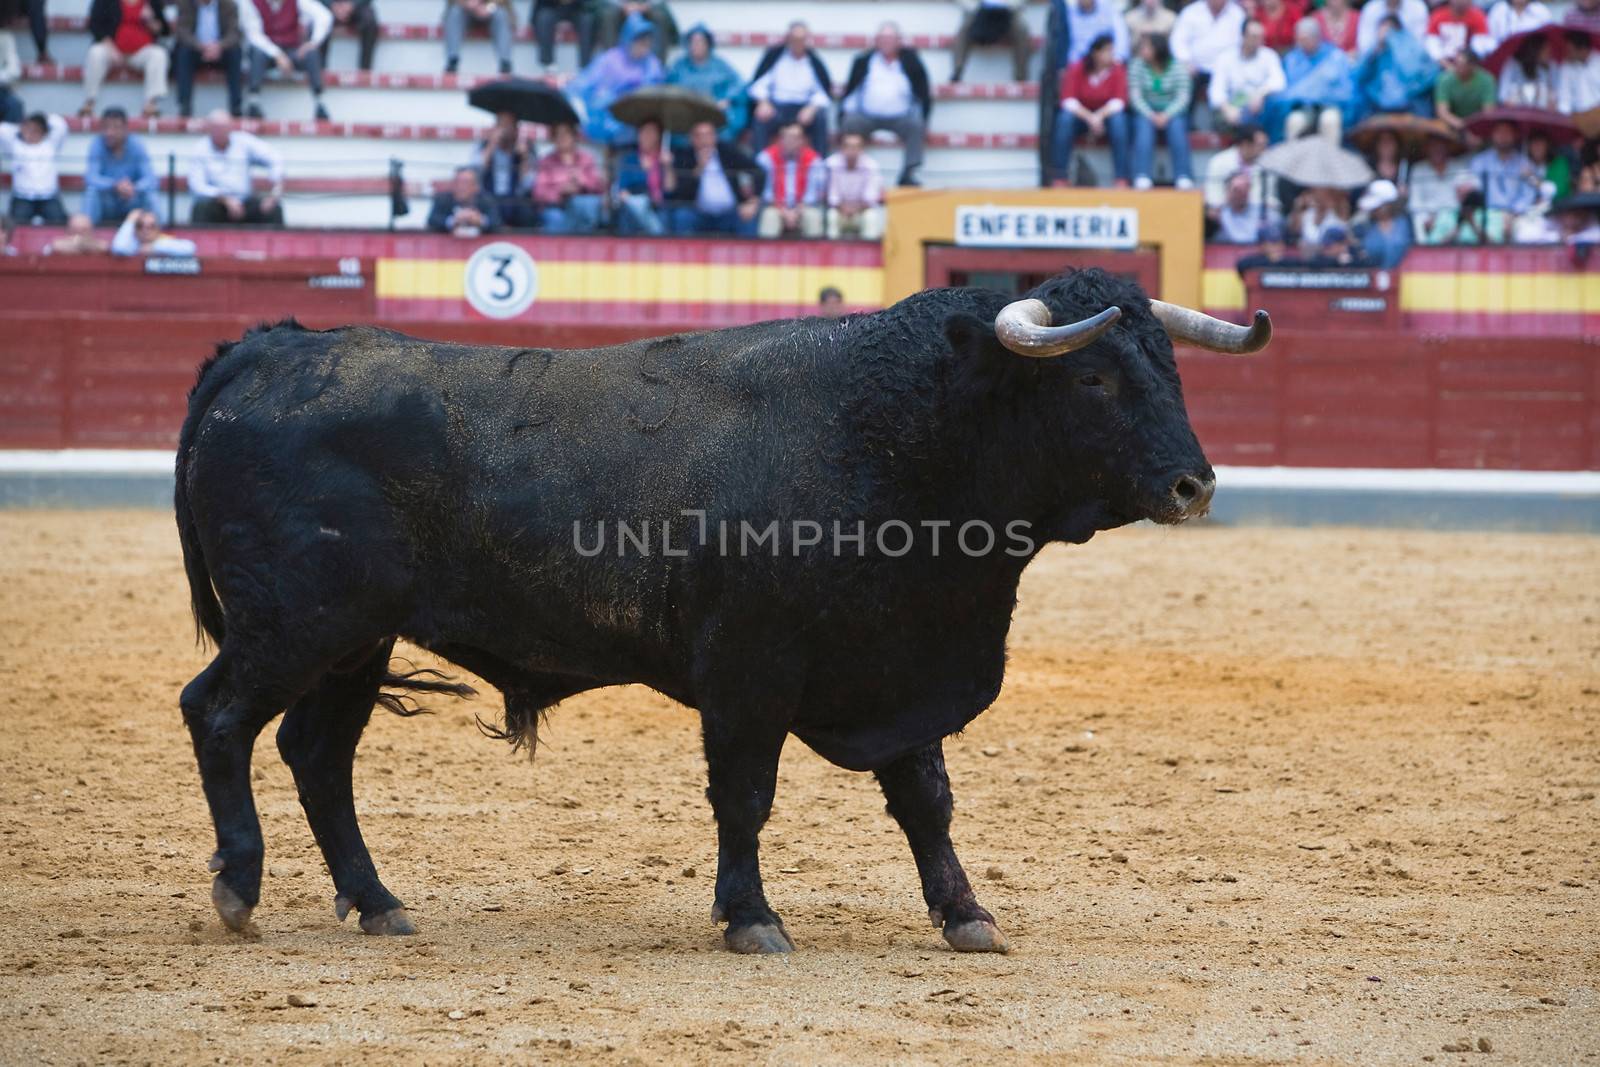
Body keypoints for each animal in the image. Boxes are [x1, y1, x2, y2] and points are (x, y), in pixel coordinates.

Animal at [175, 271, 1267, 953]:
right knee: (218, 714)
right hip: (293, 626)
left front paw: (965, 912)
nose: (1194, 484)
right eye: (1094, 375)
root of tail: (267, 353)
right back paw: (238, 887)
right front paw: (751, 916)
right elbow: (745, 795)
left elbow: (926, 799)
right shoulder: (750, 673)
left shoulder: (898, 659)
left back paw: (378, 902)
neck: (890, 432)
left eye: (1170, 369)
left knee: (318, 754)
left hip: (354, 642)